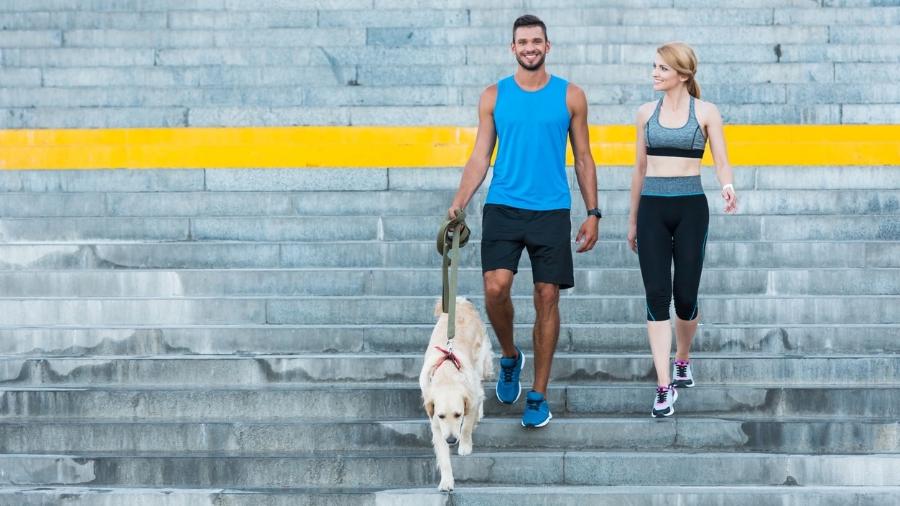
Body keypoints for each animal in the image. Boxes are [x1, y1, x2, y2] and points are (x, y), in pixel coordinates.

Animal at [420, 296, 496, 490]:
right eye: (441, 416)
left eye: (457, 414)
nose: (451, 441)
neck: (447, 376)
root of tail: (461, 302)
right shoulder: (435, 422)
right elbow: (443, 456)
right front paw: (446, 481)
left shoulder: (470, 399)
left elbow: (467, 426)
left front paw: (465, 446)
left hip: (480, 363)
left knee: (481, 389)